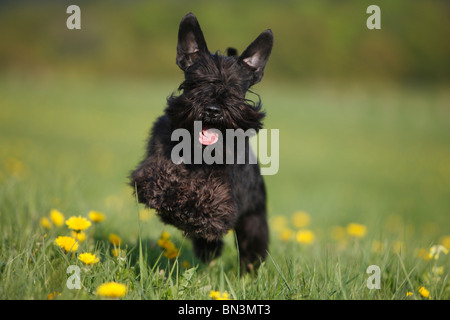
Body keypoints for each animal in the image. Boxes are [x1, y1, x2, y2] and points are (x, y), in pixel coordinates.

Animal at [128, 13, 272, 272]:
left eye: (235, 87)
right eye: (198, 81)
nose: (213, 109)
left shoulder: (225, 195)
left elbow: (211, 198)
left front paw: (190, 208)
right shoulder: (151, 167)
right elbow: (162, 175)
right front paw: (174, 198)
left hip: (253, 221)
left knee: (249, 248)